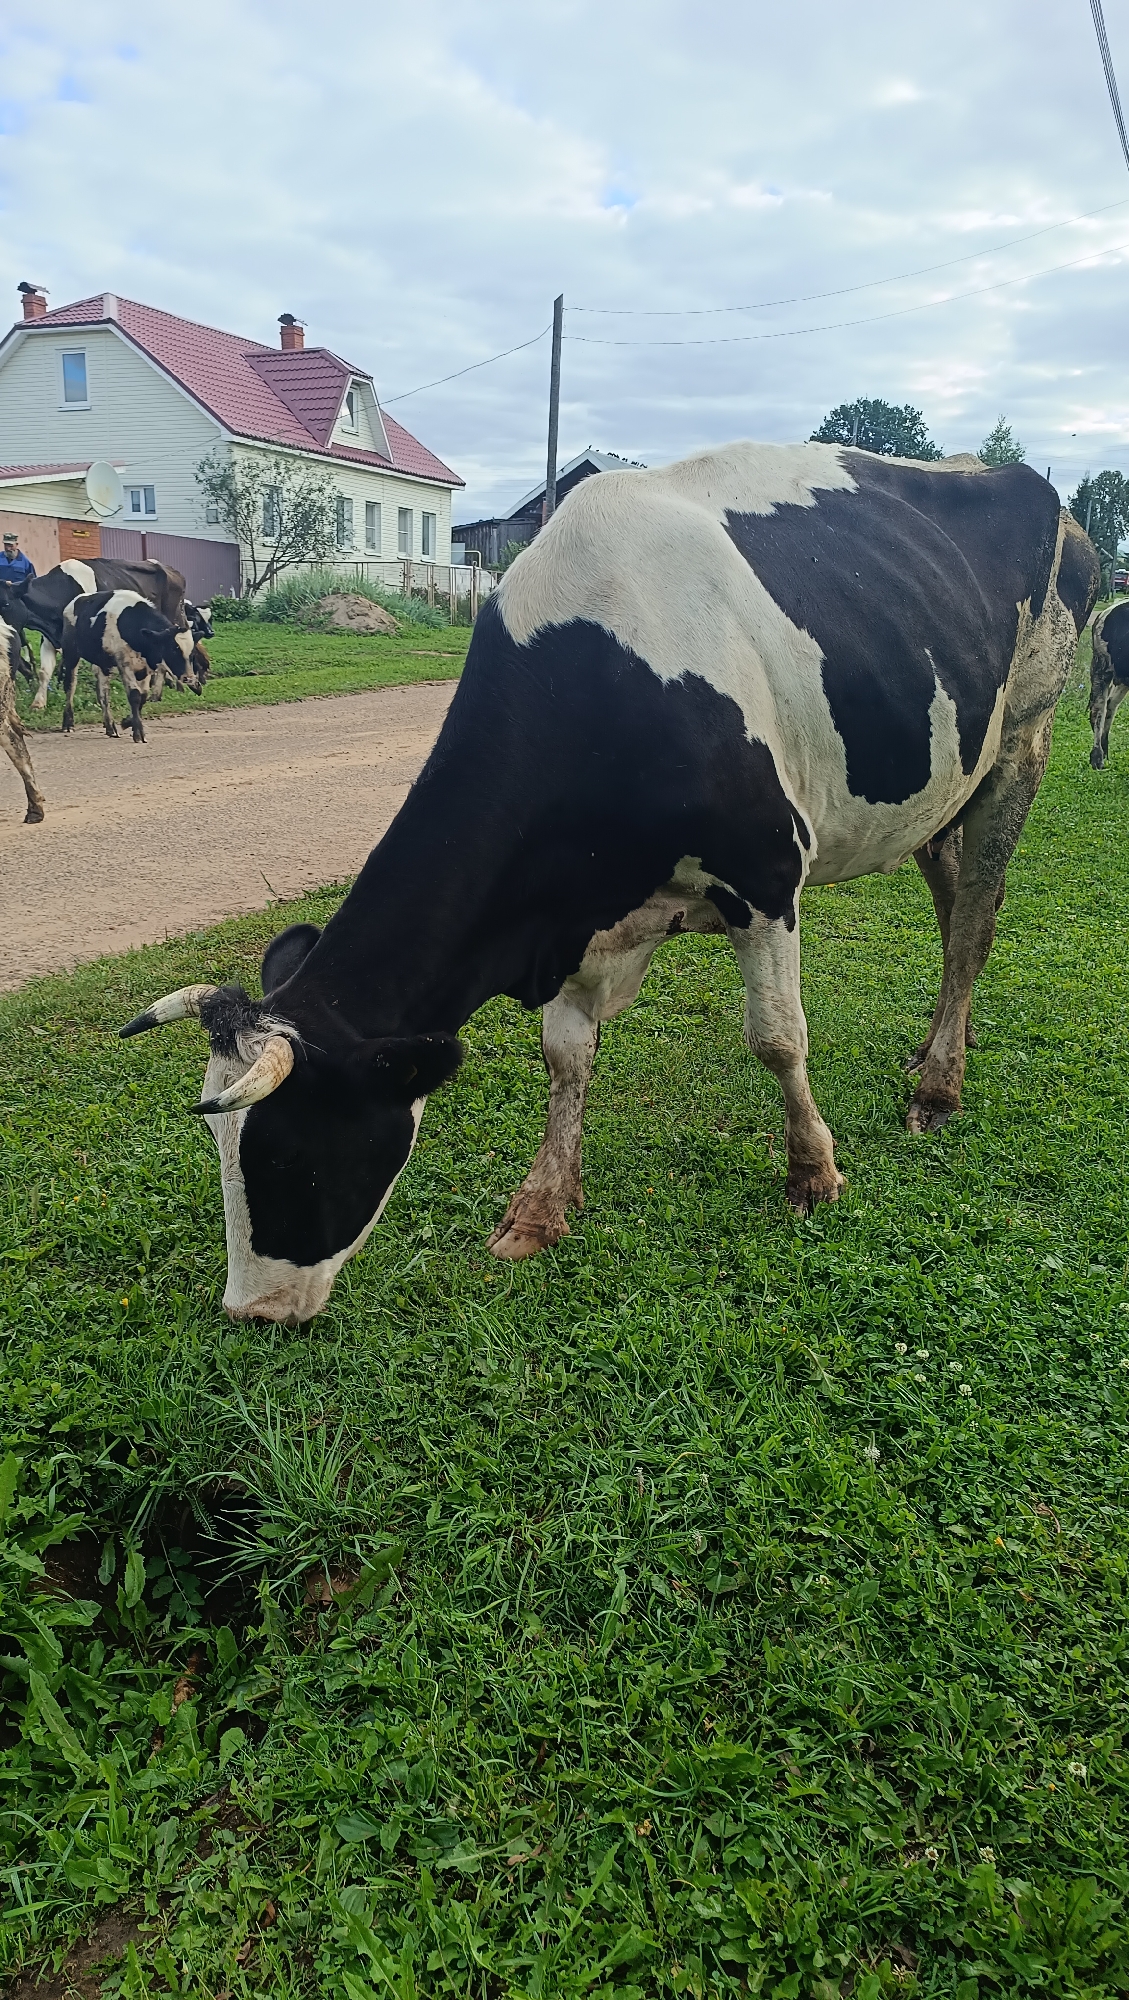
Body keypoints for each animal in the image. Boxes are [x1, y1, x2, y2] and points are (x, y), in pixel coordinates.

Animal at [61, 590, 201, 743]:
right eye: (173, 650)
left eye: (192, 654)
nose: (189, 678)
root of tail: (77, 599)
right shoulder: (125, 664)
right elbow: (134, 695)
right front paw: (138, 733)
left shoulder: (145, 668)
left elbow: (143, 696)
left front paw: (128, 722)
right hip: (70, 652)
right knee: (70, 684)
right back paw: (68, 723)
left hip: (103, 663)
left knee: (103, 693)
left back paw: (110, 727)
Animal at [120, 442, 1081, 1325]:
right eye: (223, 1149)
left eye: (289, 1155)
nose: (252, 1312)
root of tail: (1005, 473)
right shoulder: (569, 915)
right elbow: (564, 1056)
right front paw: (542, 1207)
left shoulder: (766, 873)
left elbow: (777, 1038)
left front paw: (813, 1171)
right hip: (939, 792)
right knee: (953, 901)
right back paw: (938, 1044)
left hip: (1020, 745)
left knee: (974, 920)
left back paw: (938, 1087)